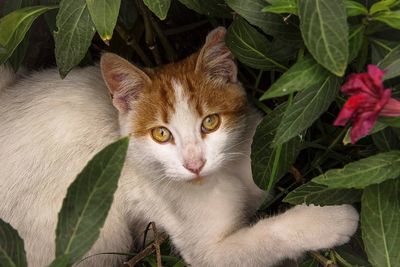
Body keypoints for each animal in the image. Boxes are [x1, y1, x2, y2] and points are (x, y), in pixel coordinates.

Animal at [0, 27, 358, 267]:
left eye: (210, 123)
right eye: (161, 134)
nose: (194, 164)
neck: (226, 173)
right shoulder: (207, 251)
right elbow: (264, 237)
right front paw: (330, 218)